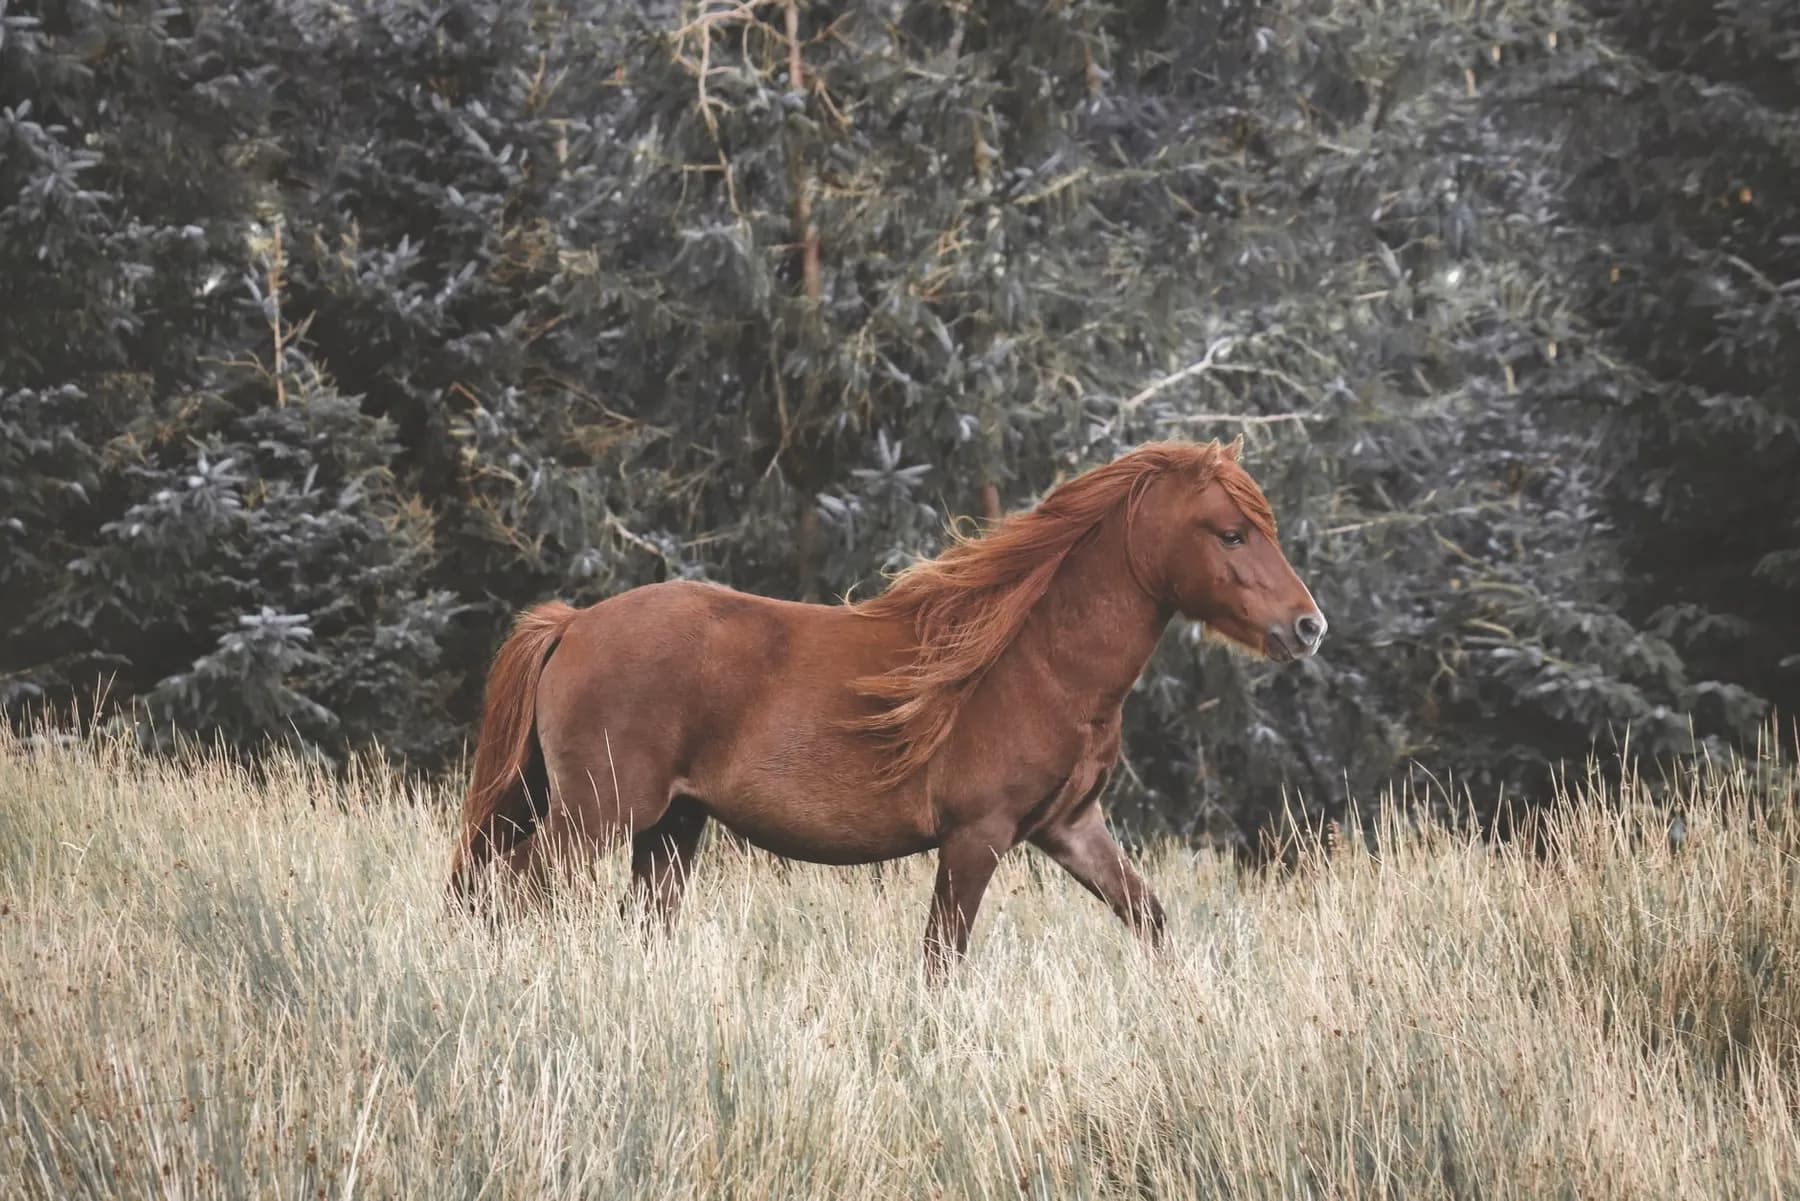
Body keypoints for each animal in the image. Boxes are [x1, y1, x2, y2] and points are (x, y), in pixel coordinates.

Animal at [449, 438, 1327, 976]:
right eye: (1232, 532)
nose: (1308, 627)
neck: (1034, 660)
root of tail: (572, 624)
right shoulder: (976, 837)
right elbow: (942, 958)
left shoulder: (1070, 827)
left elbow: (1149, 917)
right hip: (597, 816)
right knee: (513, 894)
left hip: (669, 829)